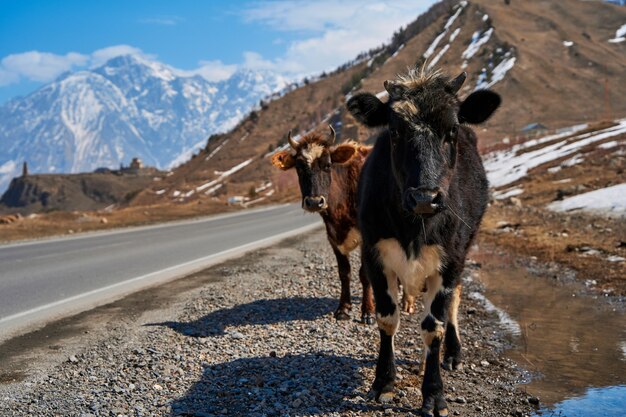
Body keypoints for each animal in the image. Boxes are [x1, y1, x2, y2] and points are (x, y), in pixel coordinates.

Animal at [268, 126, 376, 322]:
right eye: (299, 167)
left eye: (327, 165)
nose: (314, 202)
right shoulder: (332, 237)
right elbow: (344, 273)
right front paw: (343, 309)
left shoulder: (366, 237)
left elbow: (364, 274)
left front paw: (368, 312)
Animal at [348, 67, 500, 412]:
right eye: (394, 131)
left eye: (452, 129)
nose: (424, 197)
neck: (414, 228)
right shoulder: (374, 254)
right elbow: (387, 319)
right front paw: (383, 383)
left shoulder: (451, 260)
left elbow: (434, 327)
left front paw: (433, 394)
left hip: (462, 253)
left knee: (454, 302)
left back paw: (450, 354)